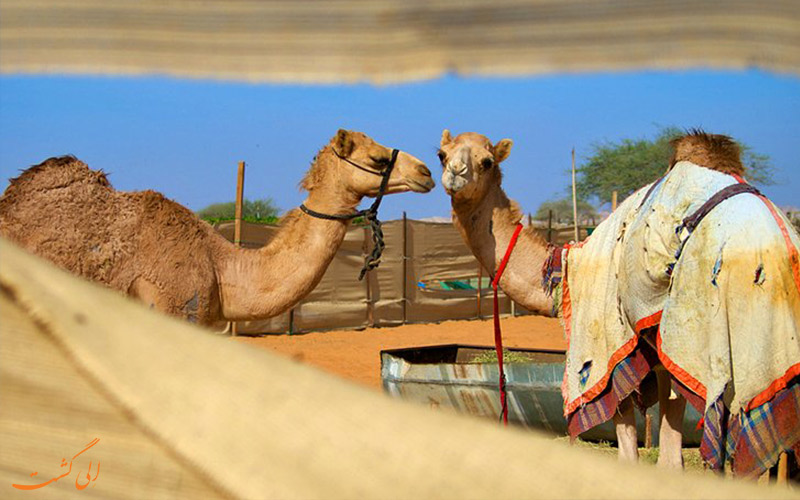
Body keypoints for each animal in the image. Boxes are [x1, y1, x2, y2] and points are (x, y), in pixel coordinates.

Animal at [438, 129, 800, 476]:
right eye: (442, 153)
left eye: (486, 161)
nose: (454, 172)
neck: (564, 270)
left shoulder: (617, 349)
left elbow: (643, 450)